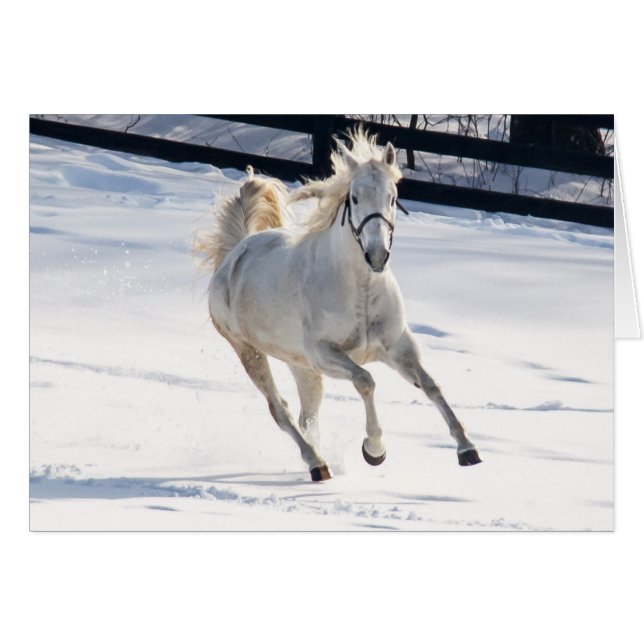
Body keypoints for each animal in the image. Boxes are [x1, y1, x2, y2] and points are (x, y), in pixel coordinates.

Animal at [196, 129, 481, 481]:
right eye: (355, 198)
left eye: (392, 197)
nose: (376, 255)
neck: (360, 292)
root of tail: (235, 253)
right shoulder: (326, 354)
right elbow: (365, 381)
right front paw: (374, 449)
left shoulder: (397, 346)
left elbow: (431, 385)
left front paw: (467, 448)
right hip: (250, 351)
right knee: (280, 410)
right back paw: (317, 464)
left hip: (300, 364)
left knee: (306, 415)